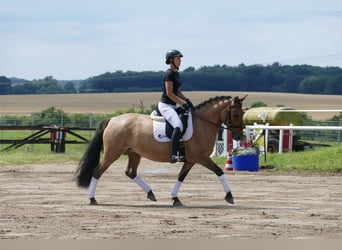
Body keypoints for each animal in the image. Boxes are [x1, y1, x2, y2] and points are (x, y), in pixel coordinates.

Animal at [75, 94, 246, 206]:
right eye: (236, 114)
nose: (239, 136)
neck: (202, 123)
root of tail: (112, 120)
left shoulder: (191, 160)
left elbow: (181, 177)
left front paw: (175, 198)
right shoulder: (201, 157)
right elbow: (219, 171)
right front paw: (229, 196)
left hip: (134, 153)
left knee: (131, 172)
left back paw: (151, 193)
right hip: (112, 154)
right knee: (97, 171)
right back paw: (92, 199)